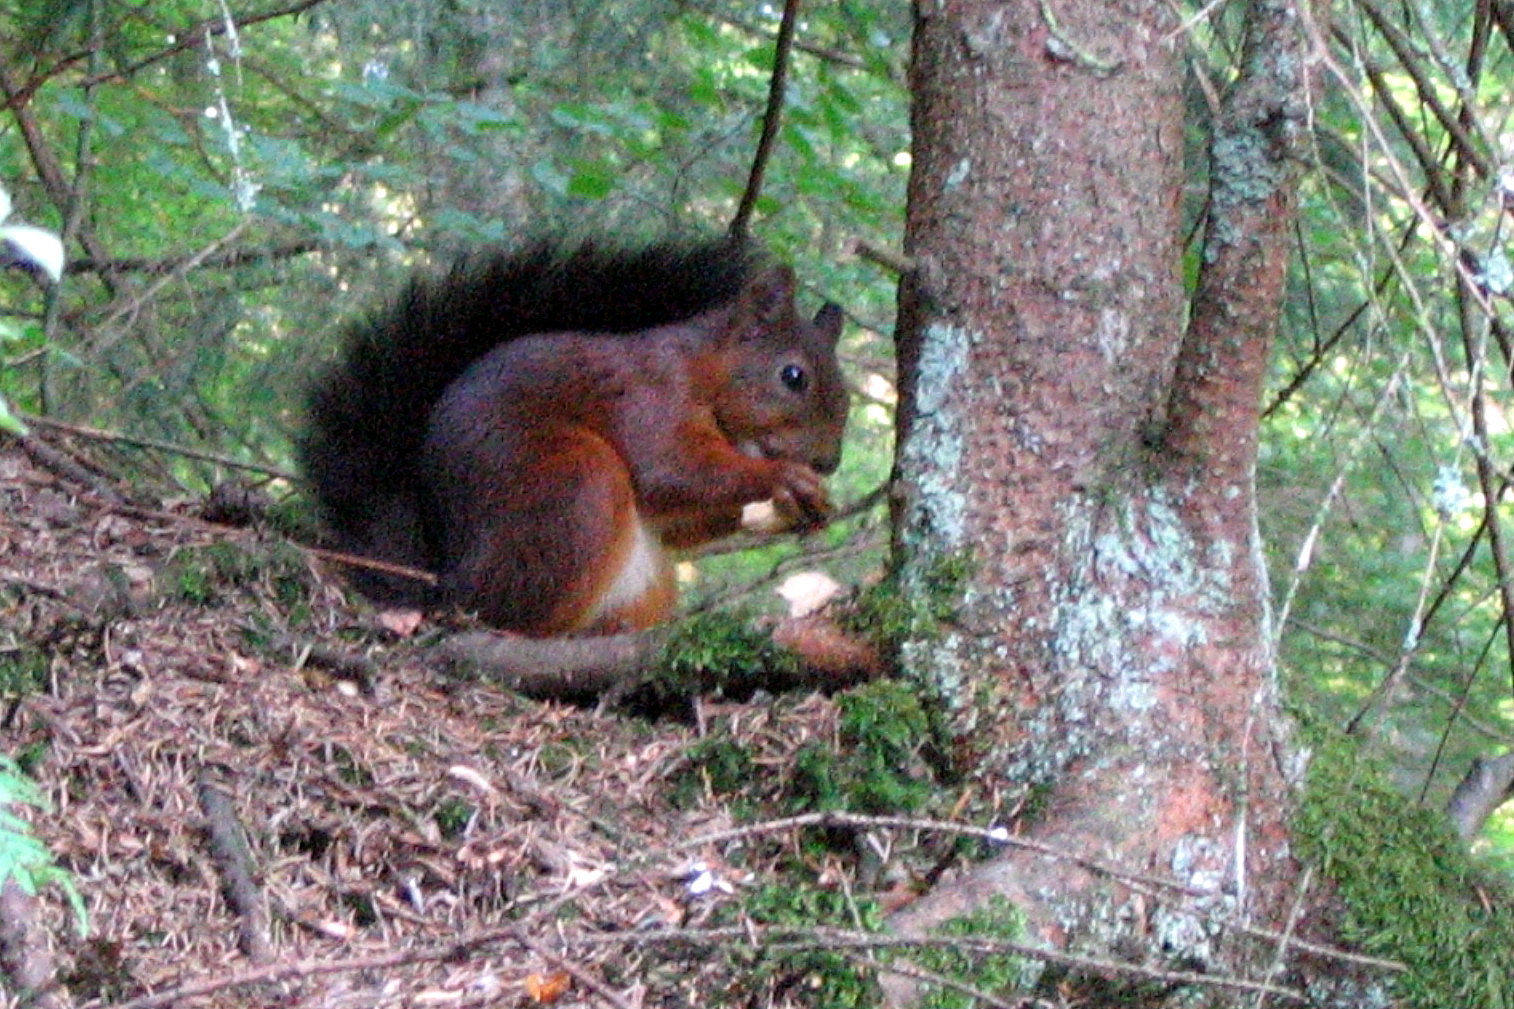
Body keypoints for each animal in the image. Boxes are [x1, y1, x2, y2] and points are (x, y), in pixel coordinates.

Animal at [299, 237, 848, 636]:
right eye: (793, 376)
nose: (829, 463)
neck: (704, 374)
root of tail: (448, 585)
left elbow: (682, 524)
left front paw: (797, 509)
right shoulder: (650, 397)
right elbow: (668, 471)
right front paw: (784, 478)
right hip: (575, 488)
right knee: (513, 616)